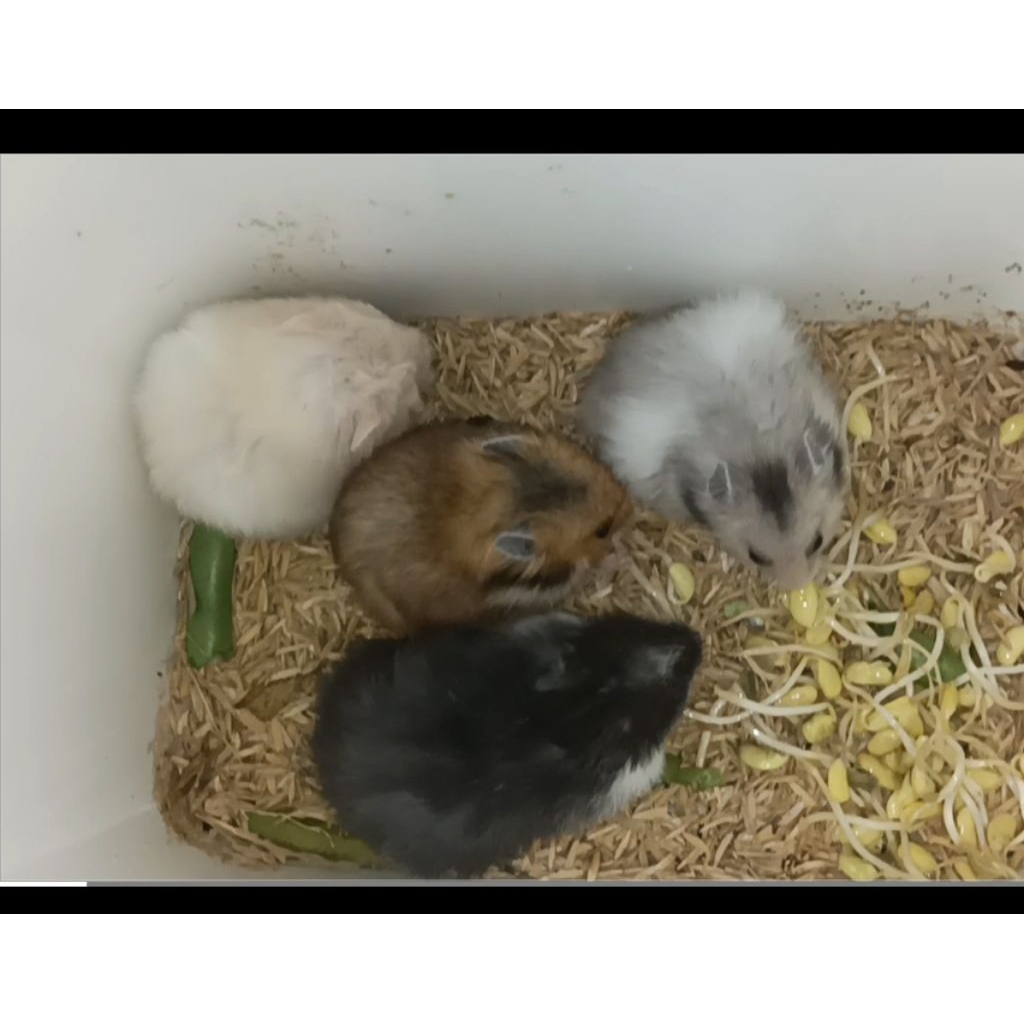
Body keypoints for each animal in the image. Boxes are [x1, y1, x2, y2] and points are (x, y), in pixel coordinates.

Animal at [329, 418, 632, 633]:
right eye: (602, 530)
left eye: (594, 463)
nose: (629, 503)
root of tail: (336, 550)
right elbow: (586, 569)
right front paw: (619, 554)